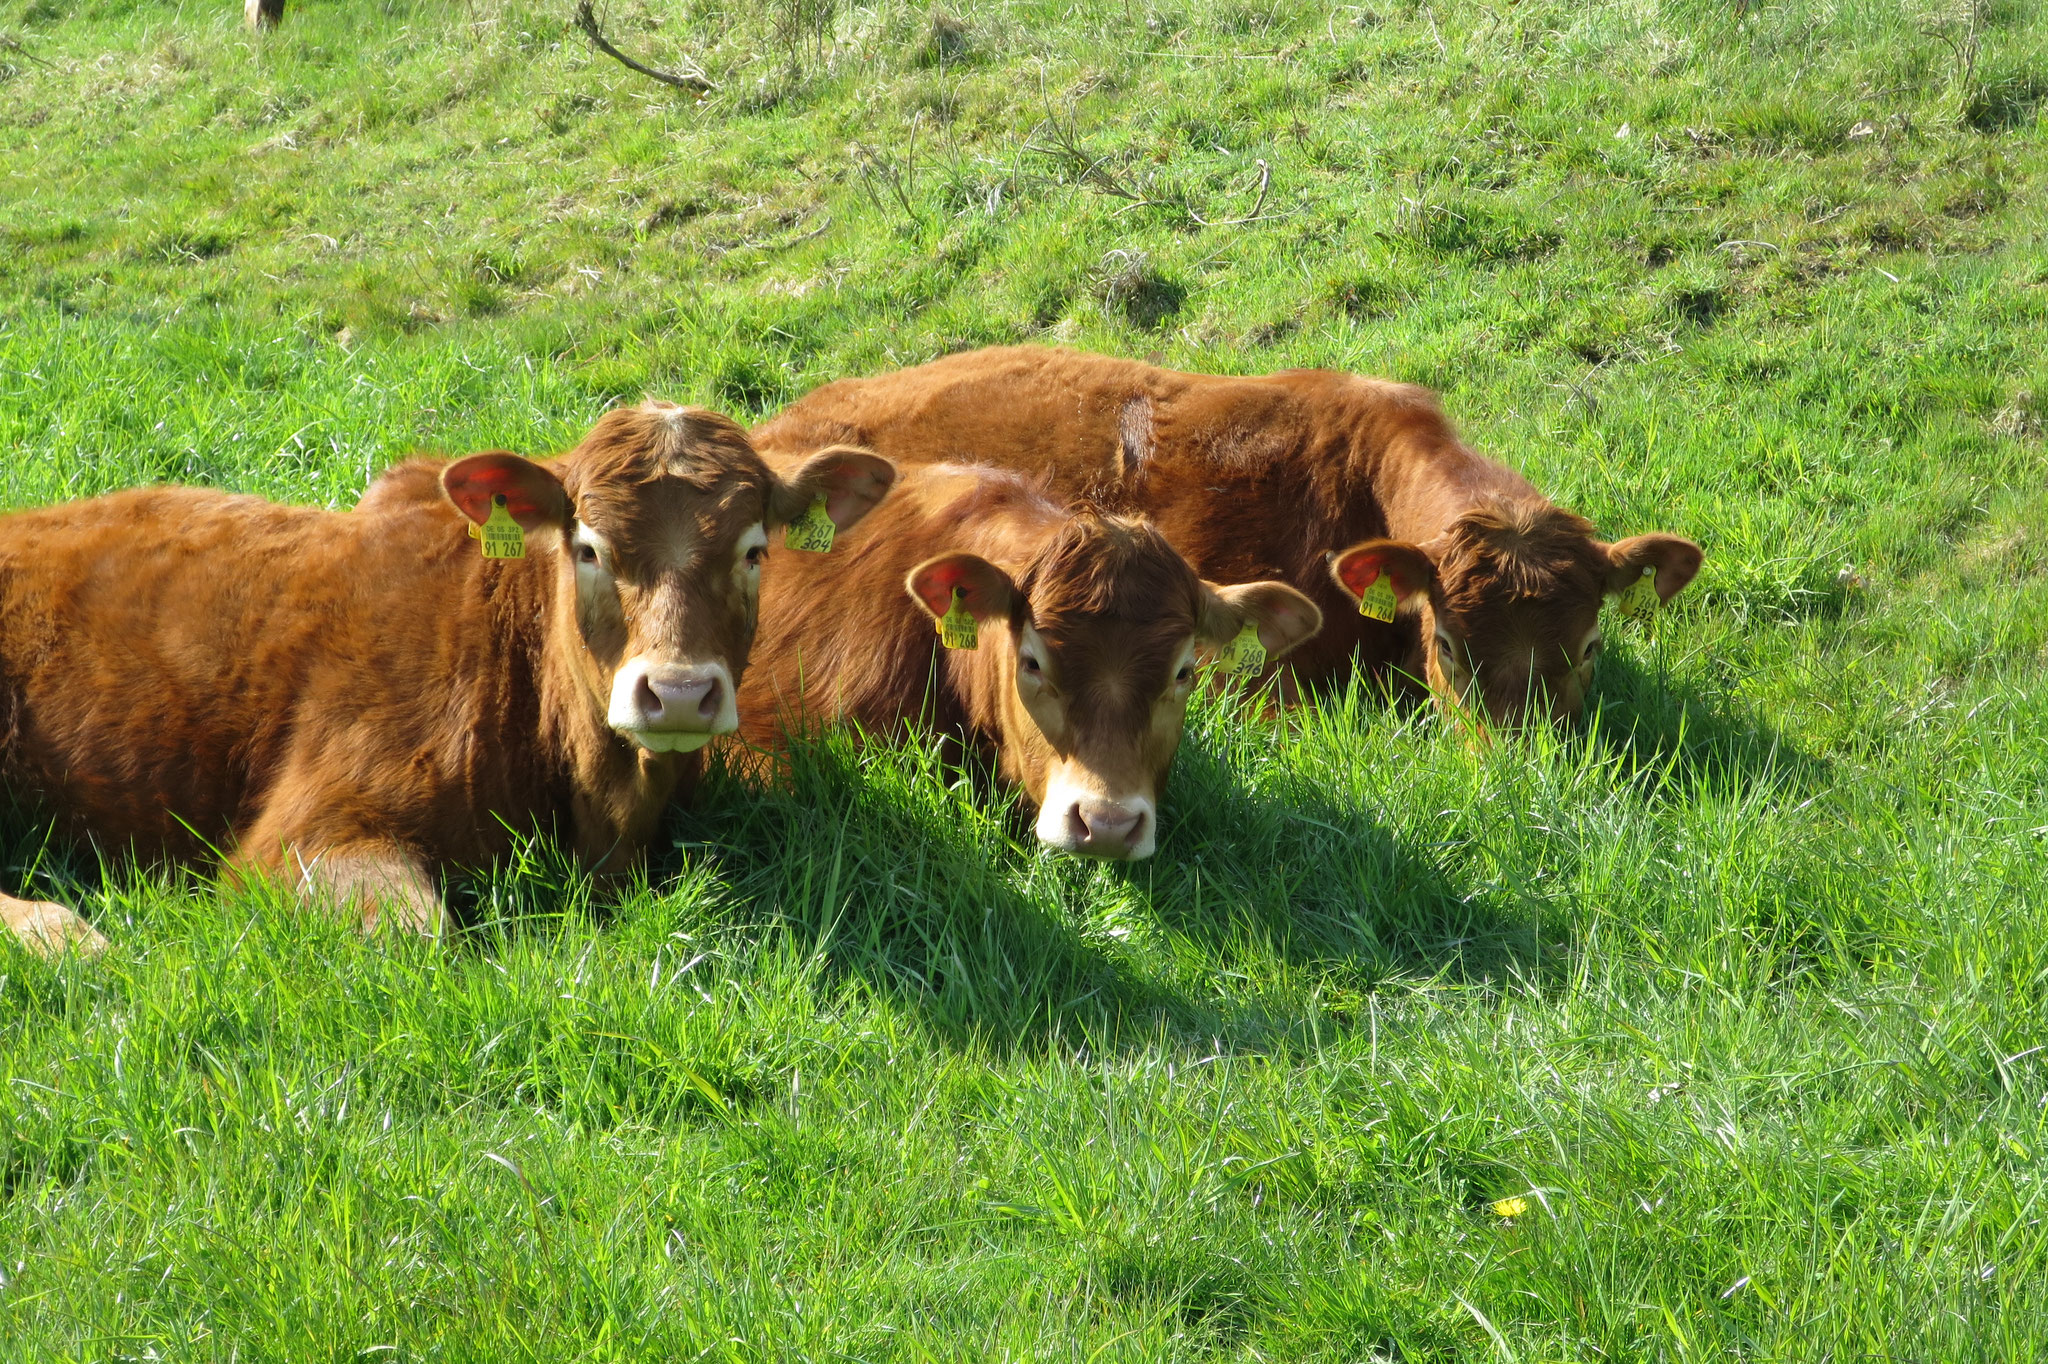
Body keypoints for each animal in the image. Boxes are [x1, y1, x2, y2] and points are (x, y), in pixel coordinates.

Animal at [2, 403, 897, 950]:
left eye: (755, 550)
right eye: (588, 548)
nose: (677, 692)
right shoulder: (305, 833)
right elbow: (419, 934)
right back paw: (58, 934)